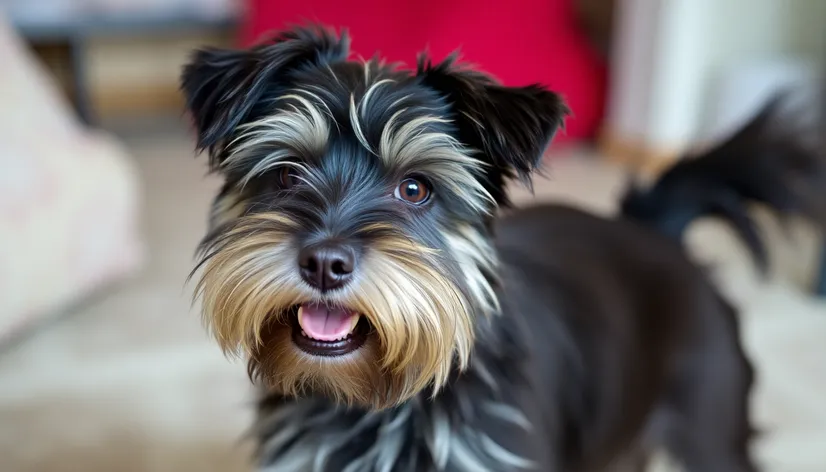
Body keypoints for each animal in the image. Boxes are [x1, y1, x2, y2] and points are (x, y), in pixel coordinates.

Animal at [180, 25, 752, 472]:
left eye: (415, 188)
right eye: (286, 174)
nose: (324, 263)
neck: (373, 400)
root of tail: (657, 232)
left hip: (709, 427)